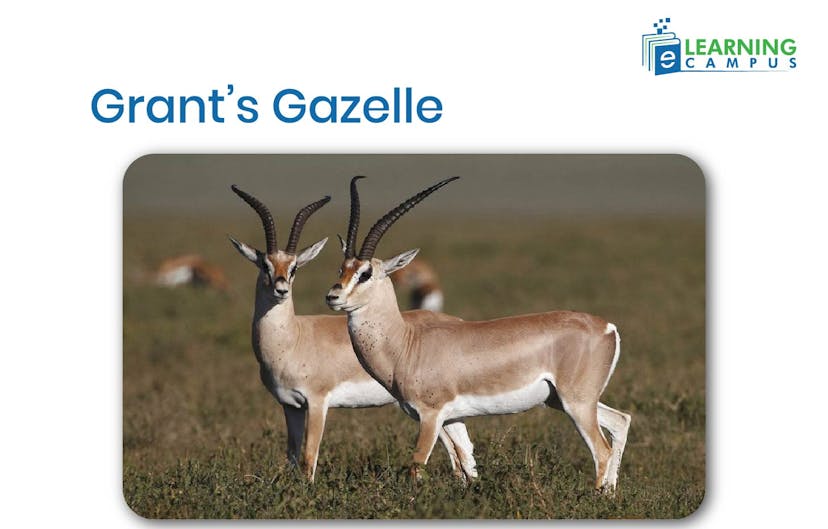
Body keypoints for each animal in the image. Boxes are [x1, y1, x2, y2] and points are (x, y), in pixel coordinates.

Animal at [229, 184, 477, 482]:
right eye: (265, 265)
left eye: (294, 268)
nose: (281, 290)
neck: (292, 339)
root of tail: (458, 322)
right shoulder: (290, 406)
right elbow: (292, 456)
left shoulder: (317, 402)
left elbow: (309, 456)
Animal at [325, 177, 632, 493]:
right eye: (342, 269)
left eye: (365, 273)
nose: (333, 296)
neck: (406, 342)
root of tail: (608, 327)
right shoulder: (452, 419)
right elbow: (465, 466)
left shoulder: (430, 415)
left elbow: (417, 466)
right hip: (563, 400)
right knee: (621, 421)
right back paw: (610, 494)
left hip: (576, 403)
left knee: (602, 450)